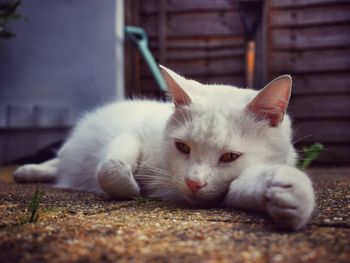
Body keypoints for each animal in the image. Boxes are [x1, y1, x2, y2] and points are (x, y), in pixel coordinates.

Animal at [13, 66, 314, 231]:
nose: (193, 182)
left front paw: (292, 196)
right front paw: (131, 188)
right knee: (56, 162)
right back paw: (28, 171)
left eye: (230, 156)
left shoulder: (228, 190)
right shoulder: (134, 133)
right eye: (182, 147)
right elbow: (110, 169)